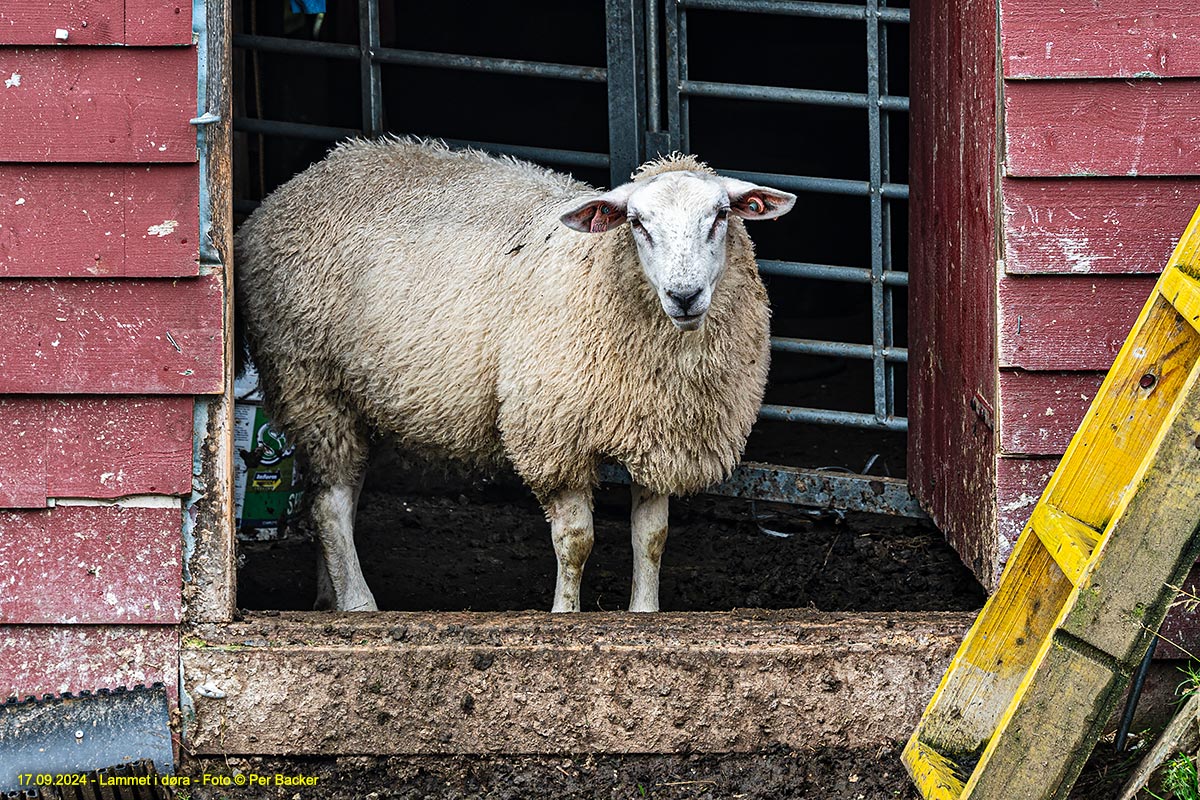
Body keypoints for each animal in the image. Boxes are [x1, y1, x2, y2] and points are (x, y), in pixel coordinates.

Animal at [234, 137, 796, 614]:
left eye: (720, 216)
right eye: (637, 223)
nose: (684, 295)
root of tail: (299, 182)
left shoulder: (659, 433)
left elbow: (651, 537)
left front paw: (644, 612)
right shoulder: (552, 434)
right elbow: (576, 541)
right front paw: (565, 614)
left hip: (348, 397)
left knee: (336, 501)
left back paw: (328, 595)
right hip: (311, 382)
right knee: (330, 506)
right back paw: (358, 604)